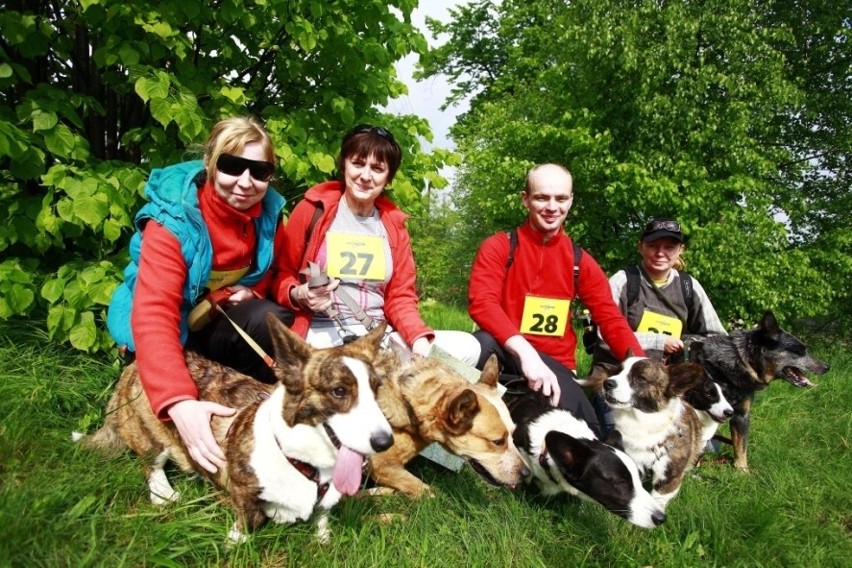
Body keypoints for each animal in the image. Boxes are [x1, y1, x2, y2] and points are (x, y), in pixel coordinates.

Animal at [75, 318, 394, 544]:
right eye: (339, 391)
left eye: (376, 389)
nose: (385, 442)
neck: (304, 464)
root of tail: (132, 368)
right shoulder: (242, 490)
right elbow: (249, 519)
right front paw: (235, 541)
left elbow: (323, 515)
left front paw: (323, 537)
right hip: (151, 427)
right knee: (152, 462)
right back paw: (164, 493)